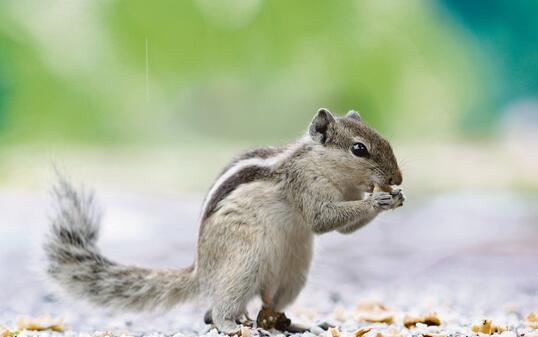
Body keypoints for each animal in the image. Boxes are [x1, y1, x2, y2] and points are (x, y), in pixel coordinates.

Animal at [45, 108, 402, 334]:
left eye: (385, 139)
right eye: (359, 149)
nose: (397, 179)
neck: (322, 163)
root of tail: (202, 270)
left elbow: (344, 228)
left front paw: (395, 197)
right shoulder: (304, 185)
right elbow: (321, 219)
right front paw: (377, 200)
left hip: (292, 274)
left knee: (266, 306)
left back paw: (295, 324)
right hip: (243, 260)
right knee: (219, 307)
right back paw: (231, 325)